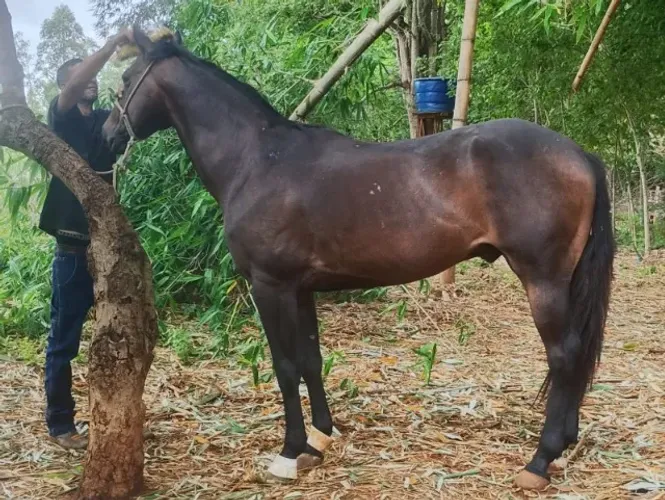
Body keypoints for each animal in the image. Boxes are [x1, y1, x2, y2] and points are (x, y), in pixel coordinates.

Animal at [102, 28, 614, 490]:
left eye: (126, 78)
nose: (106, 134)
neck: (257, 159)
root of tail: (579, 154)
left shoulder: (270, 286)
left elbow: (284, 367)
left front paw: (289, 453)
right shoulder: (300, 288)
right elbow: (310, 360)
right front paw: (321, 437)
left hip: (543, 279)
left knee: (564, 355)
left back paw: (540, 461)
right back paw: (565, 443)